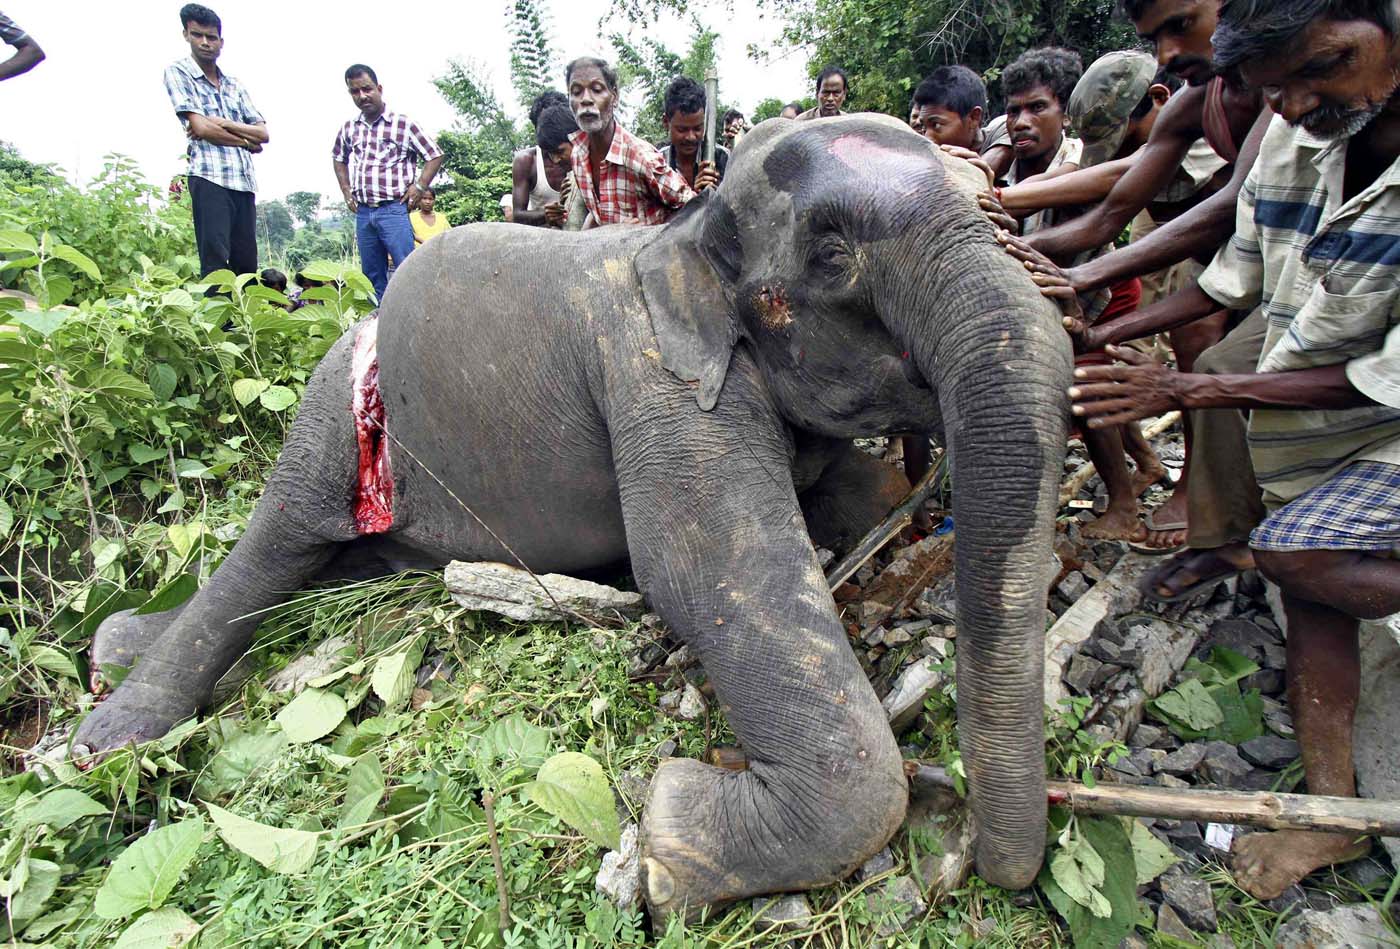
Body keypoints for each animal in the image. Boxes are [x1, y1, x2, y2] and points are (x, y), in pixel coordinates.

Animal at [73, 111, 1069, 923]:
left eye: (993, 202)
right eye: (832, 256)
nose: (990, 861)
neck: (683, 228)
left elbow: (864, 502)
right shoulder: (651, 375)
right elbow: (702, 570)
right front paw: (670, 832)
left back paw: (117, 645)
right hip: (332, 398)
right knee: (280, 535)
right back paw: (112, 733)